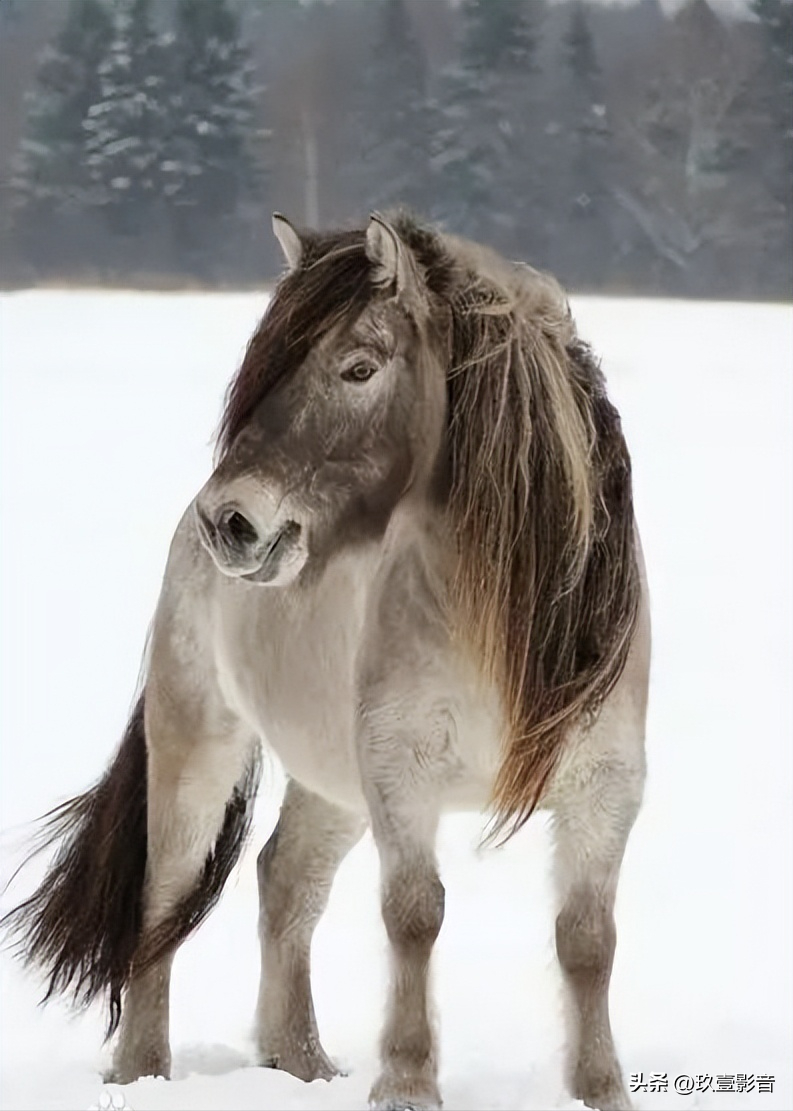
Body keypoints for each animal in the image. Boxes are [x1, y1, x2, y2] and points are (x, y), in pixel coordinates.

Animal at [3, 209, 648, 1111]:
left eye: (357, 367)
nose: (229, 520)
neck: (494, 622)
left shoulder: (603, 785)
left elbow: (588, 938)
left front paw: (599, 1089)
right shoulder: (400, 769)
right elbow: (415, 913)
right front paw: (406, 1083)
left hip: (331, 780)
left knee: (287, 880)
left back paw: (300, 1062)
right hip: (199, 743)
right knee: (163, 899)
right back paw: (144, 1069)